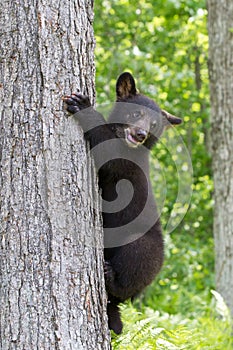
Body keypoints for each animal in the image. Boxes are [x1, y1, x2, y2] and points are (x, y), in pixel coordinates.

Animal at [63, 72, 182, 334]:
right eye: (135, 114)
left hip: (143, 250)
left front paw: (82, 105)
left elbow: (108, 152)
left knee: (131, 270)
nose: (140, 135)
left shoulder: (128, 165)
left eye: (154, 125)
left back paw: (110, 277)